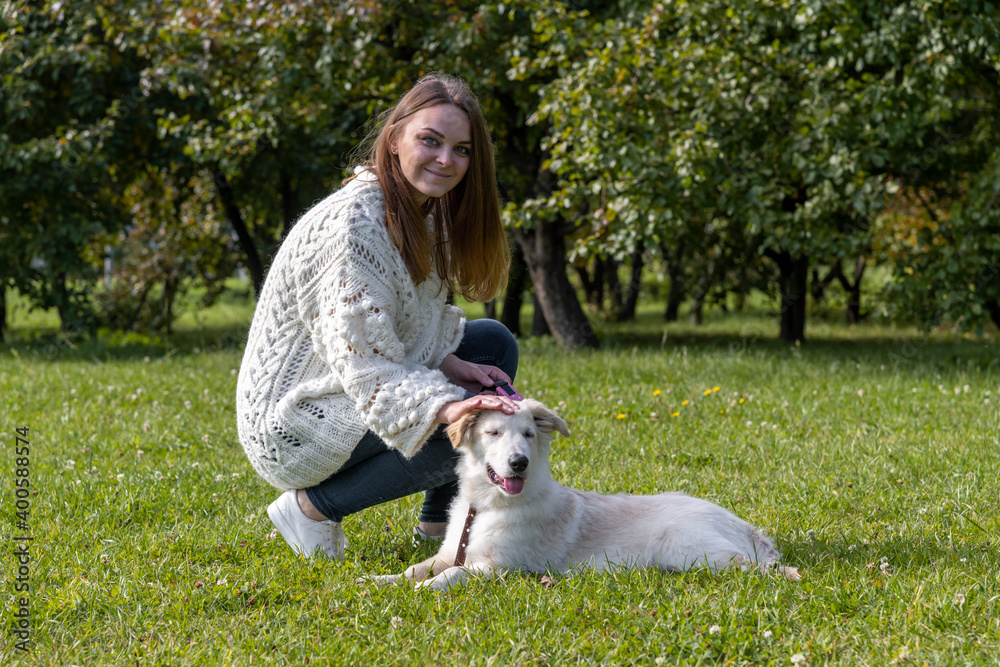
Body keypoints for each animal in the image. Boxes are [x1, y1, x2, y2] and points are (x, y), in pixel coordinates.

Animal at [372, 396, 800, 588]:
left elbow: (448, 576)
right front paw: (380, 582)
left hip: (689, 548)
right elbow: (417, 567)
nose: (519, 463)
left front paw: (420, 591)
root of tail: (745, 527)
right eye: (492, 432)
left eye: (528, 435)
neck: (488, 506)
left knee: (752, 566)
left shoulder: (499, 566)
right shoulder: (450, 551)